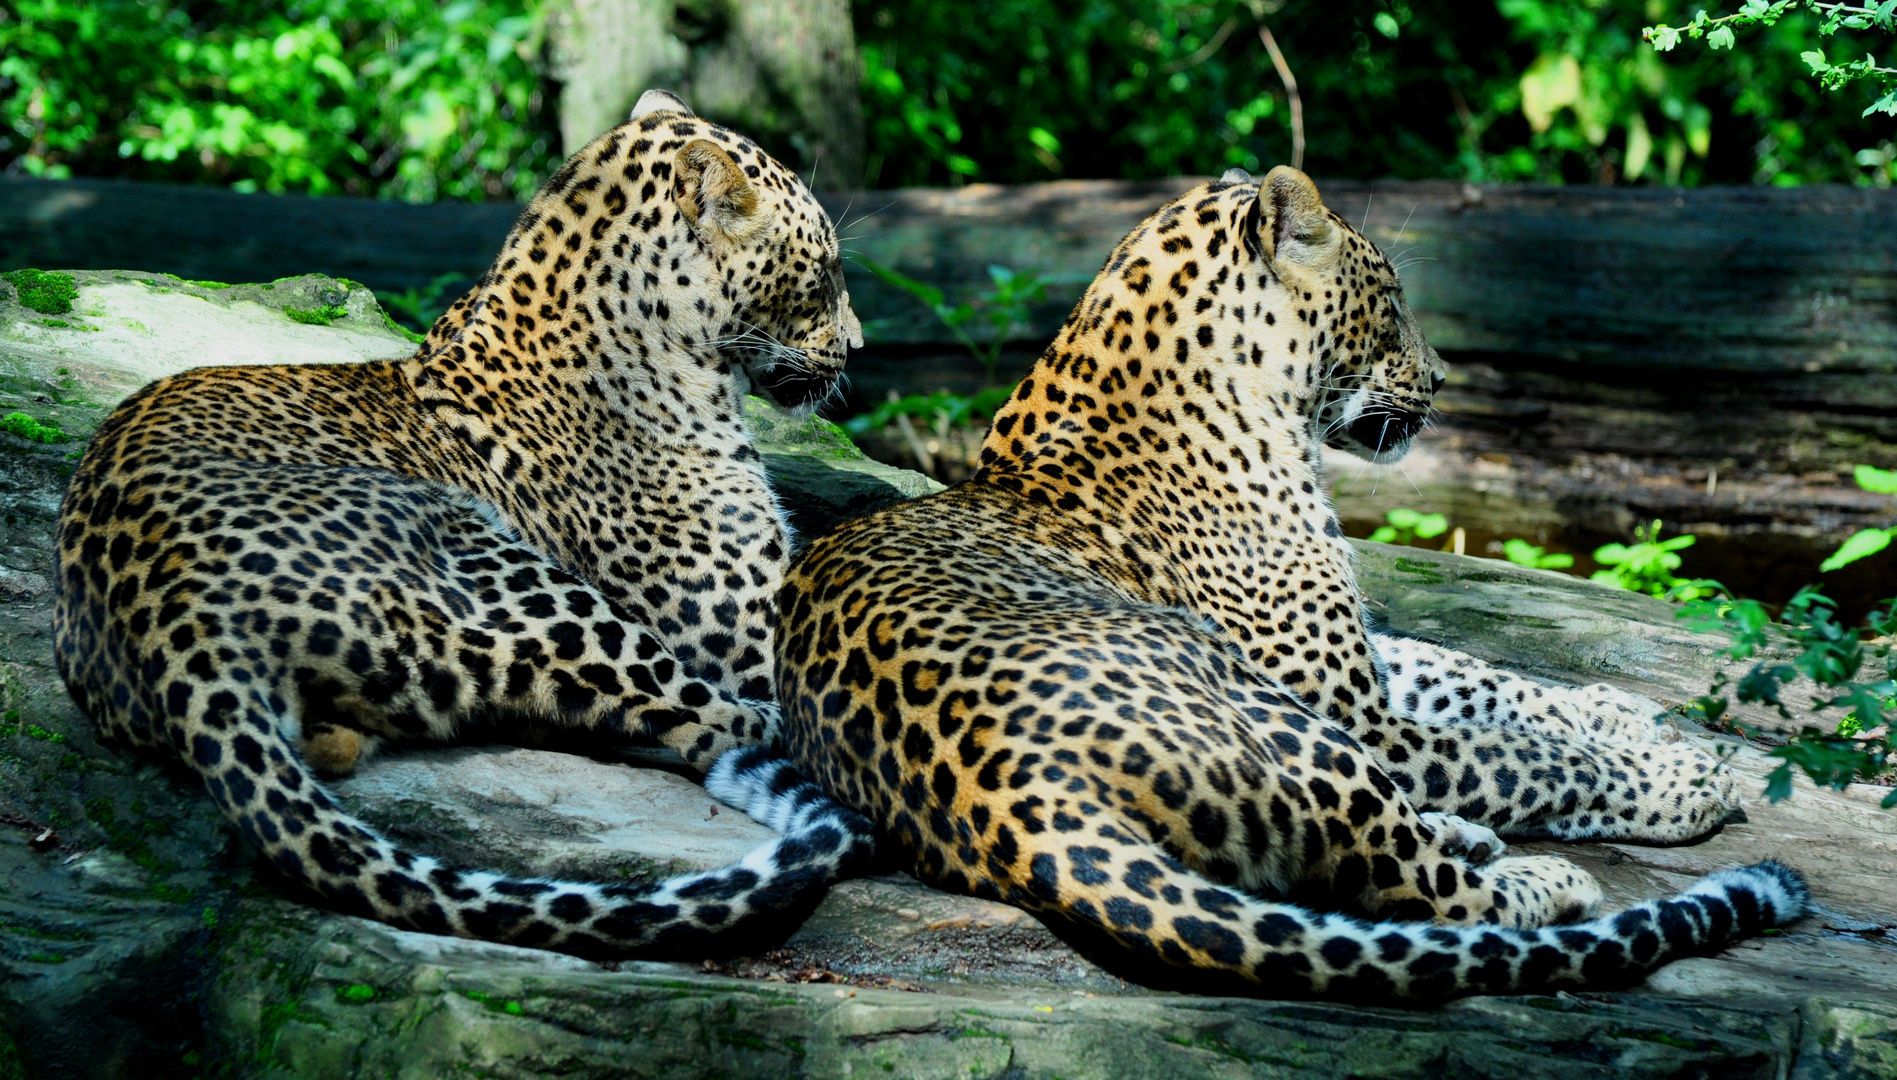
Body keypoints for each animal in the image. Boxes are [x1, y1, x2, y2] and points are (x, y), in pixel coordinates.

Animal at [53, 88, 872, 956]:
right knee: (715, 722)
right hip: (513, 573)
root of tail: (170, 621)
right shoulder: (743, 630)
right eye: (823, 272)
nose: (858, 346)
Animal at [773, 164, 1805, 994]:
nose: (1442, 378)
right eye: (1389, 301)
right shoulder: (1354, 710)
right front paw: (1680, 773)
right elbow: (1519, 753)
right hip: (1285, 724)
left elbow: (1480, 677)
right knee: (1425, 896)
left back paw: (1471, 833)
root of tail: (1011, 800)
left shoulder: (1354, 667)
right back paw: (1549, 872)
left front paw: (1616, 708)